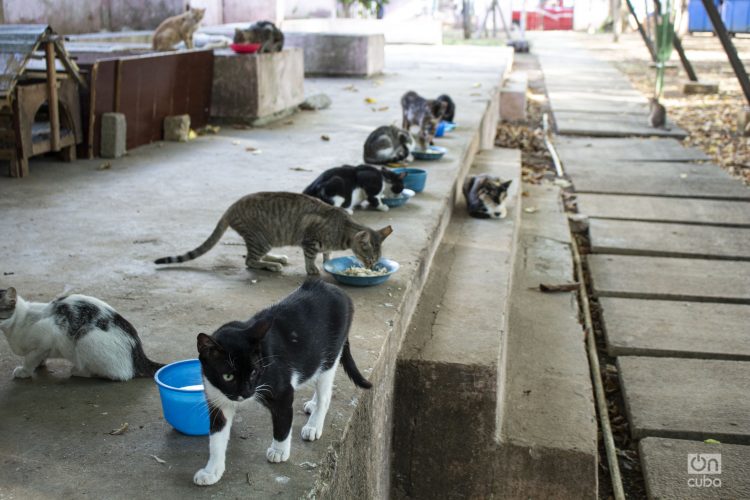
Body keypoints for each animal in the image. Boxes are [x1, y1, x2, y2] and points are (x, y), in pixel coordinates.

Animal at [0, 288, 163, 380]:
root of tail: (138, 352)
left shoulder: (47, 336)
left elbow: (30, 358)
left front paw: (25, 371)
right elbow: (38, 357)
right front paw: (40, 364)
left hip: (85, 338)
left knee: (117, 375)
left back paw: (79, 371)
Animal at [156, 192, 396, 278]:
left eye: (376, 260)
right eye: (369, 258)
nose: (372, 267)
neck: (343, 228)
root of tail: (231, 208)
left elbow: (326, 254)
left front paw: (326, 260)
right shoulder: (310, 240)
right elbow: (311, 257)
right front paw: (313, 269)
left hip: (265, 240)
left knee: (251, 257)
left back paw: (277, 258)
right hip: (261, 238)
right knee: (250, 261)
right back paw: (272, 265)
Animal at [192, 278, 372, 484]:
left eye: (254, 372)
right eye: (228, 376)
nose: (245, 393)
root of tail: (337, 290)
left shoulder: (282, 392)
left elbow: (282, 422)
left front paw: (279, 451)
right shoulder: (217, 398)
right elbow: (216, 438)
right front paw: (211, 471)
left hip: (330, 355)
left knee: (326, 393)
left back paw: (313, 424)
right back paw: (313, 404)